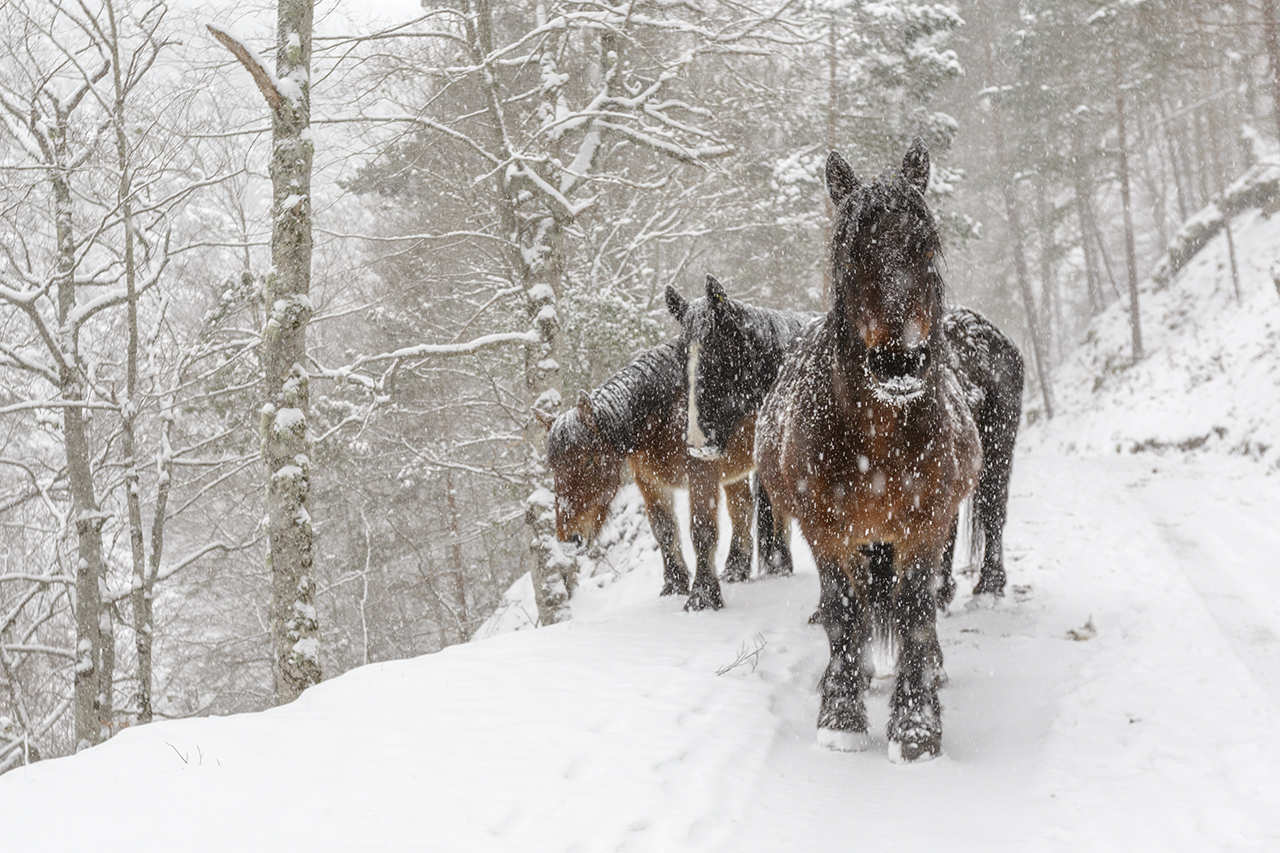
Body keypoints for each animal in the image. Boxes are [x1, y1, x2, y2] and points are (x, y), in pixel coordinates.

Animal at [542, 335, 757, 607]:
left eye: (588, 461)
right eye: (553, 468)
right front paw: (674, 586)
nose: (568, 540)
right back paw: (736, 569)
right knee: (742, 508)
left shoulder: (702, 475)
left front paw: (703, 596)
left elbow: (702, 530)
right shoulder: (649, 481)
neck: (666, 412)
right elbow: (664, 530)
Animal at [670, 279, 1018, 596]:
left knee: (993, 511)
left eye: (718, 354)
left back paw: (989, 585)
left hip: (996, 452)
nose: (697, 441)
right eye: (682, 359)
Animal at [757, 137, 977, 758]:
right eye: (849, 254)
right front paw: (841, 714)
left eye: (925, 246)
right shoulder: (826, 531)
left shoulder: (925, 526)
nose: (899, 362)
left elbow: (914, 610)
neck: (877, 437)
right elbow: (844, 611)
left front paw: (916, 723)